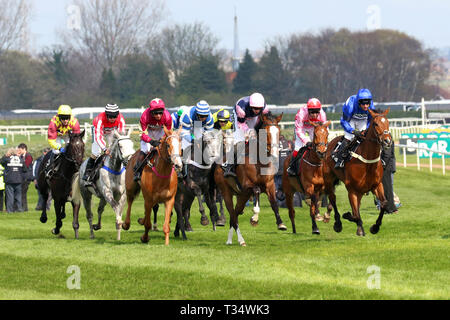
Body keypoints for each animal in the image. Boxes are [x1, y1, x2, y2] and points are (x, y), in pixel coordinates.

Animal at [214, 112, 284, 245]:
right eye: (266, 132)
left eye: (278, 131)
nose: (274, 153)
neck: (259, 162)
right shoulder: (247, 185)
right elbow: (256, 191)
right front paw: (254, 218)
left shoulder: (270, 184)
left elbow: (274, 203)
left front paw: (281, 224)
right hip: (226, 192)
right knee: (232, 214)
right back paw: (241, 240)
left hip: (242, 196)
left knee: (235, 214)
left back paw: (230, 240)